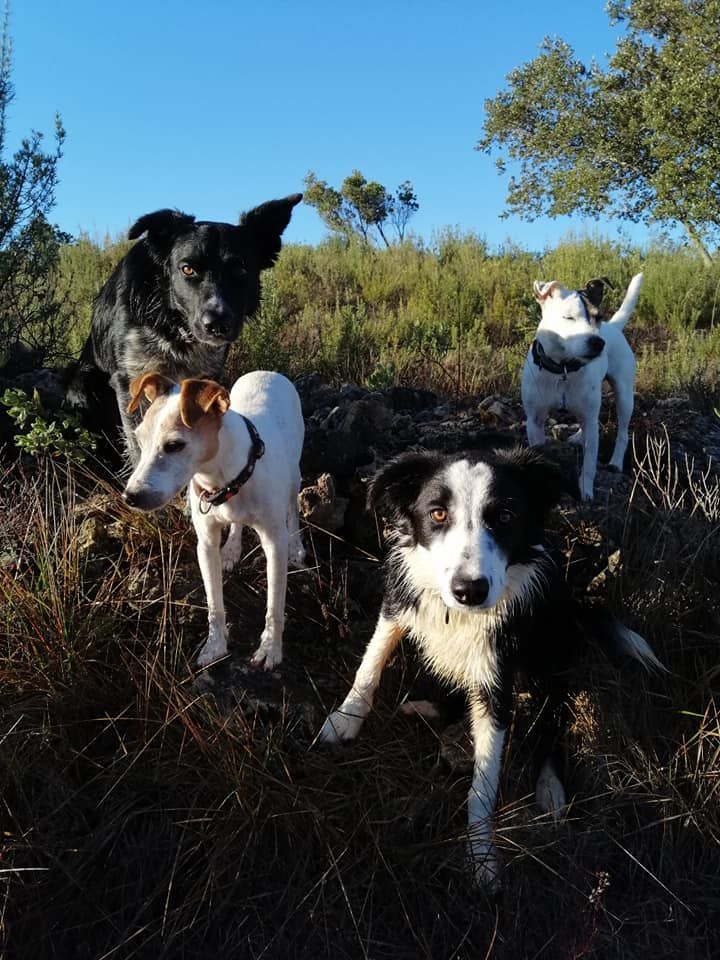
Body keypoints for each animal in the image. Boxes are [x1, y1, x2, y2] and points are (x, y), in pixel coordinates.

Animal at [67, 191, 300, 462]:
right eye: (187, 269)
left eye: (240, 269)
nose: (217, 324)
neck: (171, 321)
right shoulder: (129, 381)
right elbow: (137, 444)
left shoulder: (206, 375)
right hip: (84, 384)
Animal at [124, 372, 304, 672]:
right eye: (139, 439)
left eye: (174, 445)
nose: (130, 496)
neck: (224, 480)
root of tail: (268, 373)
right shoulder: (206, 545)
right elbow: (213, 604)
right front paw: (216, 645)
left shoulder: (274, 544)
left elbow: (274, 605)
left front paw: (270, 648)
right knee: (237, 525)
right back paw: (231, 549)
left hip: (294, 476)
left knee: (294, 508)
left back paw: (297, 547)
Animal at [520, 270, 644, 496]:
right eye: (568, 317)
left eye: (598, 317)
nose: (598, 343)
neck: (563, 369)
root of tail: (614, 326)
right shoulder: (534, 421)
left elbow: (589, 463)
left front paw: (585, 489)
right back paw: (579, 436)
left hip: (624, 395)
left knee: (621, 432)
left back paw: (615, 461)